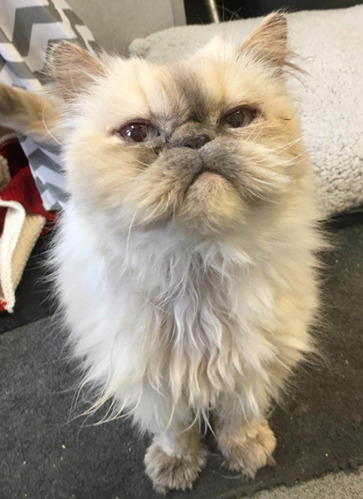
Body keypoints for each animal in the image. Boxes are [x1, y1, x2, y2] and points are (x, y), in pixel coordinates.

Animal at [0, 12, 324, 496]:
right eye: (137, 133)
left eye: (238, 119)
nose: (195, 139)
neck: (196, 266)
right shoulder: (147, 379)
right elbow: (175, 429)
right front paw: (177, 467)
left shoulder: (256, 361)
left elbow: (239, 414)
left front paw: (246, 452)